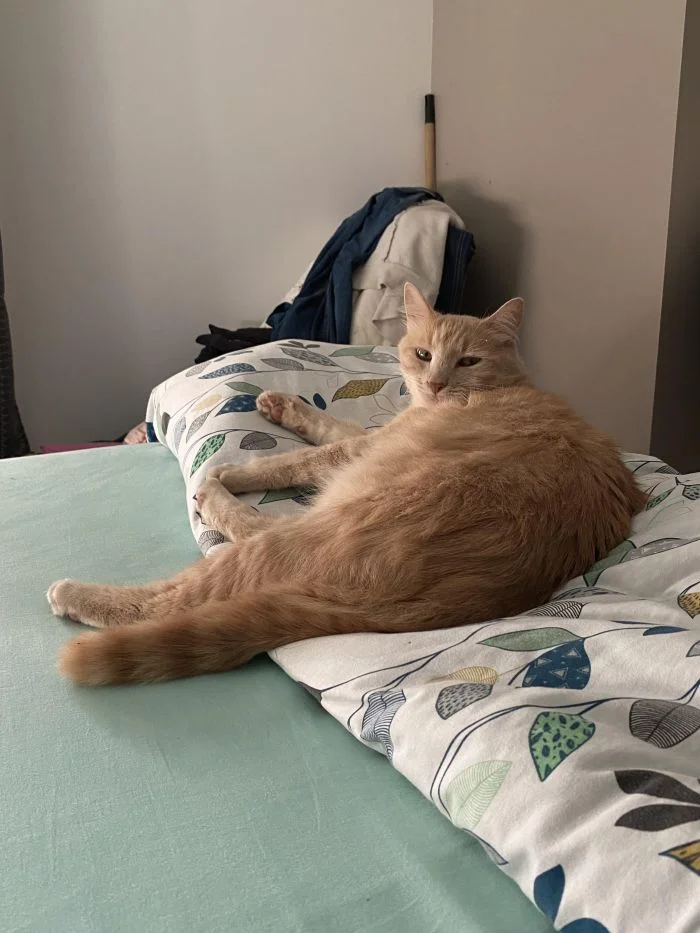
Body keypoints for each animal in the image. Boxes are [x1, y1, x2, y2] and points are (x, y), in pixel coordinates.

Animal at [48, 283, 646, 685]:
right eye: (424, 354)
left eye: (468, 360)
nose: (434, 384)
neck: (498, 389)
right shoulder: (375, 436)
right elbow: (332, 425)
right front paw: (280, 405)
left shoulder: (364, 451)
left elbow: (302, 458)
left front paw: (235, 470)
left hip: (303, 531)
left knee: (195, 579)